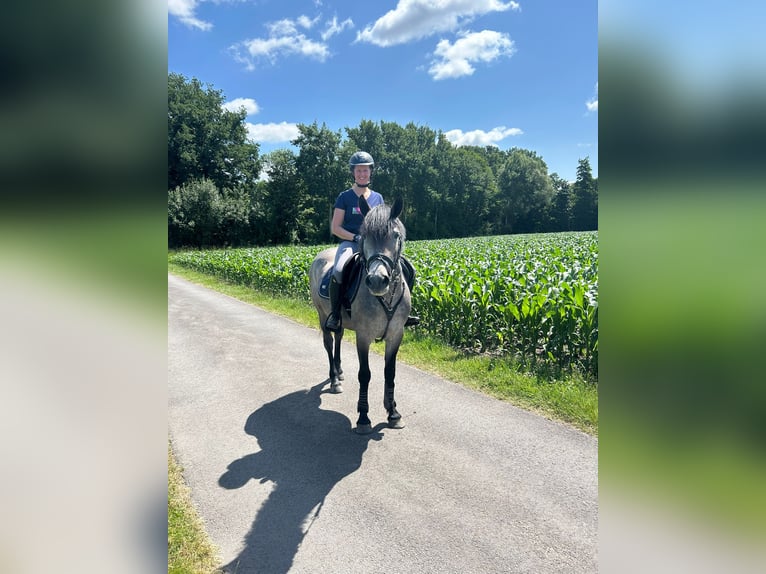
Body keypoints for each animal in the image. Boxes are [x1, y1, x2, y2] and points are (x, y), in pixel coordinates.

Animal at [309, 196, 411, 434]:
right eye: (364, 236)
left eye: (395, 236)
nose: (377, 281)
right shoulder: (363, 336)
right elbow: (365, 374)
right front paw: (364, 418)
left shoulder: (396, 335)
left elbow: (390, 373)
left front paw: (393, 412)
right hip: (322, 315)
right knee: (329, 343)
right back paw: (334, 380)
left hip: (339, 321)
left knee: (337, 338)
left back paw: (339, 371)